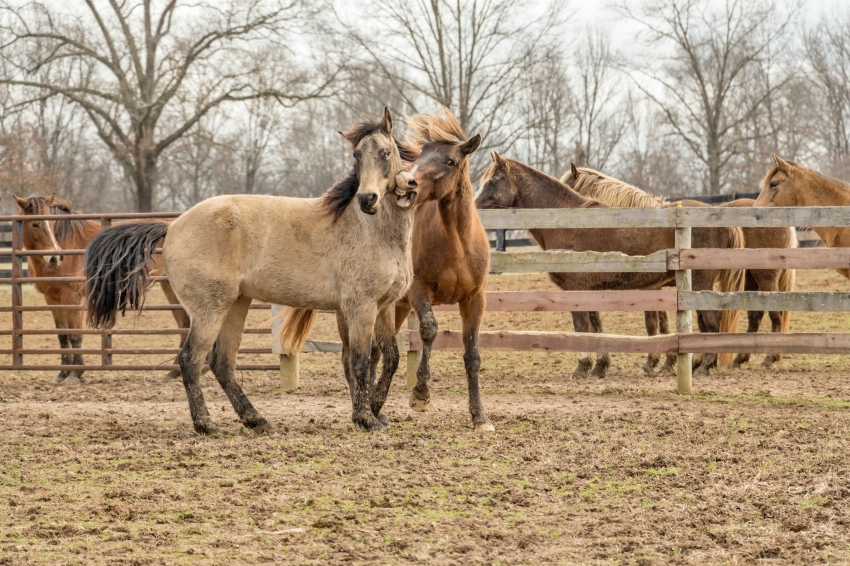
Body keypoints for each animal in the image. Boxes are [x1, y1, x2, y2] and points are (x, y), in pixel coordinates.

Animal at [11, 195, 189, 386]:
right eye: (35, 224)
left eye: (52, 224)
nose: (55, 258)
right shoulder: (52, 299)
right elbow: (62, 335)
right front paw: (62, 373)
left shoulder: (72, 297)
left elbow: (75, 334)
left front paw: (75, 374)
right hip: (169, 287)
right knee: (185, 324)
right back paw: (174, 372)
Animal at [85, 106, 418, 434]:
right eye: (357, 156)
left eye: (386, 152)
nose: (367, 199)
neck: (370, 231)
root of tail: (173, 226)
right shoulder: (360, 306)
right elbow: (361, 362)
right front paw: (366, 419)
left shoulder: (383, 307)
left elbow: (390, 358)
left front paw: (374, 413)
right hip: (210, 310)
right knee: (191, 360)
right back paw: (207, 424)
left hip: (236, 304)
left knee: (222, 363)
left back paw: (256, 420)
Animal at [394, 108, 494, 432]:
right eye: (421, 154)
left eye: (449, 160)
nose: (406, 181)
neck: (457, 245)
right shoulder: (419, 290)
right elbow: (429, 329)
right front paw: (420, 395)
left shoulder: (475, 299)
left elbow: (472, 355)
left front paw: (479, 416)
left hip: (398, 307)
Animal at [476, 154, 744, 382]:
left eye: (492, 180)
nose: (473, 206)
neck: (568, 223)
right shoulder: (591, 290)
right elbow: (596, 328)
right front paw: (600, 367)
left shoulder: (575, 290)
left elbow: (582, 327)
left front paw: (582, 367)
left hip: (699, 286)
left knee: (711, 322)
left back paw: (704, 367)